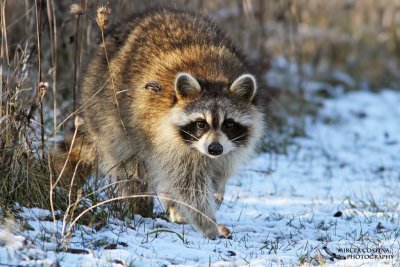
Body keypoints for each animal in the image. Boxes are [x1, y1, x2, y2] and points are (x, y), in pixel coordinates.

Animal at [69, 7, 264, 239]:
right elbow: (189, 185)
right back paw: (138, 205)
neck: (212, 75)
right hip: (107, 114)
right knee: (131, 165)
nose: (214, 148)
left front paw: (212, 199)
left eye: (229, 124)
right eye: (201, 124)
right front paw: (207, 221)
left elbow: (216, 176)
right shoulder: (168, 140)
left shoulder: (229, 149)